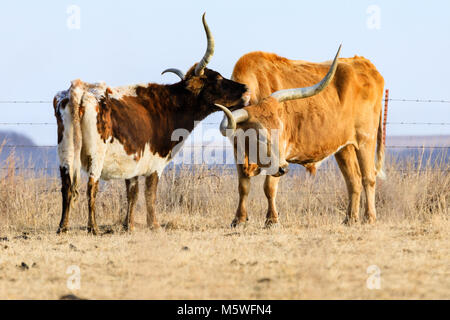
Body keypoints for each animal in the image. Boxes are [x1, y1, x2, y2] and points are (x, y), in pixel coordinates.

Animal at [53, 14, 250, 235]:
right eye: (216, 79)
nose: (245, 88)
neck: (168, 105)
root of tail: (80, 89)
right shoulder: (155, 163)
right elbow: (150, 193)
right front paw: (154, 225)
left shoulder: (132, 162)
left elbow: (132, 193)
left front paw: (128, 226)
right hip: (96, 153)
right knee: (91, 185)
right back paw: (93, 228)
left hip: (66, 152)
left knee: (66, 187)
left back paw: (63, 227)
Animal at [216, 46, 384, 229]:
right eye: (258, 136)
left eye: (281, 129)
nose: (284, 168)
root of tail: (365, 63)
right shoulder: (238, 153)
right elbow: (243, 187)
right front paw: (238, 220)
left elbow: (269, 187)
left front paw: (272, 220)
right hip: (344, 147)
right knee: (354, 180)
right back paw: (350, 219)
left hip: (366, 139)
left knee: (368, 178)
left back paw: (369, 217)